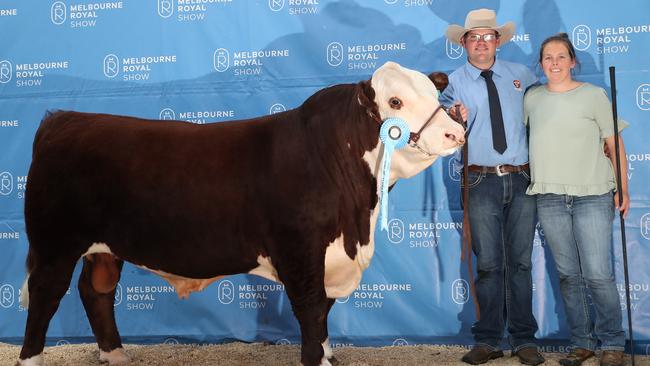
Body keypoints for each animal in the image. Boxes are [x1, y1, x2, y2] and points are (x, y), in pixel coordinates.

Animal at [17, 62, 464, 366]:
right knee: (45, 295)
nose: (455, 133)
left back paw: (115, 355)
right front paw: (316, 358)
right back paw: (32, 357)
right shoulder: (300, 251)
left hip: (104, 248)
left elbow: (324, 313)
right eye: (395, 102)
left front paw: (327, 354)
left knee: (97, 290)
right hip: (54, 243)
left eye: (434, 94)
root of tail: (64, 119)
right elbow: (312, 310)